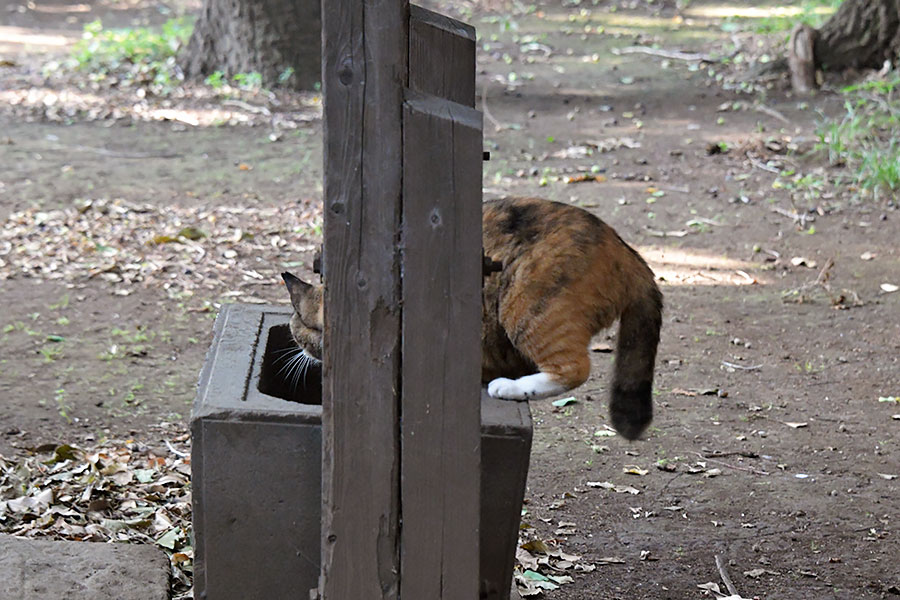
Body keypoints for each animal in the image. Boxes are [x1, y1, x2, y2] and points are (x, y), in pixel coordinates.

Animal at [284, 197, 664, 440]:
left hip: (525, 304)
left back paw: (510, 387)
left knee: (574, 368)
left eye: (298, 328)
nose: (299, 351)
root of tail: (630, 256)